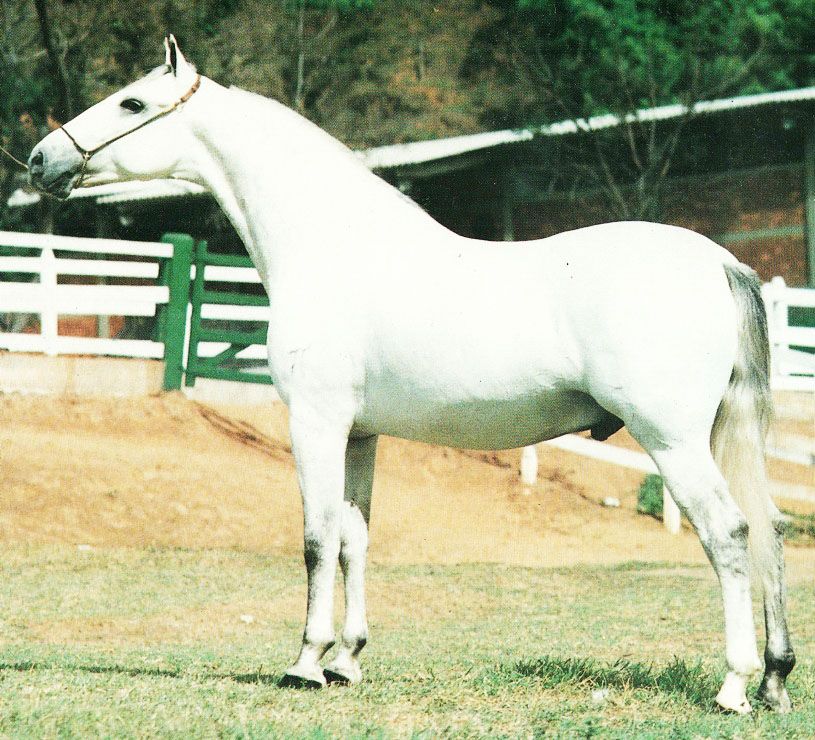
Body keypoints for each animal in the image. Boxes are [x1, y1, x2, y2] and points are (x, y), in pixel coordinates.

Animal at [28, 37, 792, 712]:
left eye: (132, 102)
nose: (40, 159)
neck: (334, 246)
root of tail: (719, 262)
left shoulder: (315, 421)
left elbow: (316, 539)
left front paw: (305, 663)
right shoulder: (361, 434)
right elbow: (354, 540)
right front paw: (346, 661)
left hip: (672, 441)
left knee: (729, 534)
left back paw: (733, 686)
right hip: (715, 435)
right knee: (770, 529)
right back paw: (775, 681)